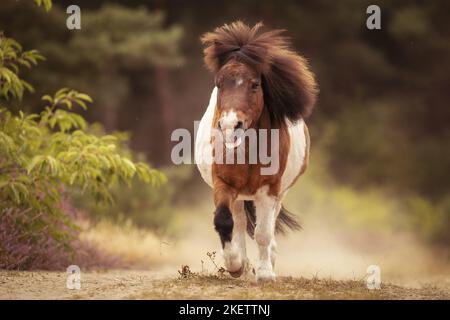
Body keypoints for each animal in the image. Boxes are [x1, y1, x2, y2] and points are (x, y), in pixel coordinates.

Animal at [195, 21, 318, 282]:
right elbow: (224, 221)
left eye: (255, 84)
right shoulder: (223, 183)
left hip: (279, 194)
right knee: (240, 222)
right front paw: (234, 265)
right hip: (240, 194)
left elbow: (263, 232)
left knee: (267, 224)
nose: (230, 125)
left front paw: (264, 273)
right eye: (219, 83)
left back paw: (268, 260)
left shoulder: (270, 189)